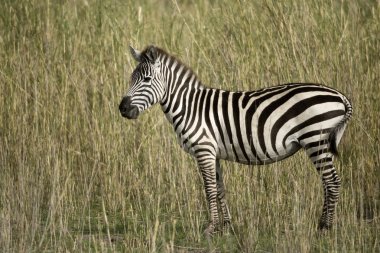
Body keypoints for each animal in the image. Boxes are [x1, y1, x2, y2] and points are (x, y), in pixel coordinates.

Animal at [119, 45, 354, 235]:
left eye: (146, 80)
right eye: (131, 78)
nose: (122, 109)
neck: (189, 107)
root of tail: (340, 96)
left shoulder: (203, 149)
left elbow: (209, 189)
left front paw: (211, 228)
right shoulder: (213, 153)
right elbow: (220, 189)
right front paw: (226, 226)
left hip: (316, 140)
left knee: (332, 182)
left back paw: (325, 227)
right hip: (318, 142)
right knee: (328, 182)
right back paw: (323, 224)